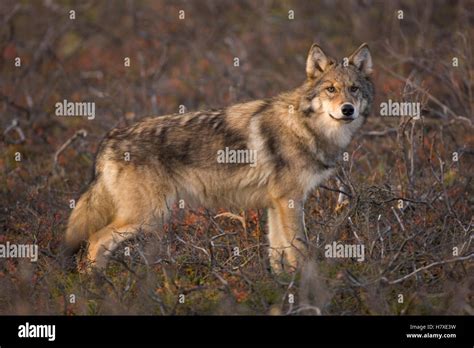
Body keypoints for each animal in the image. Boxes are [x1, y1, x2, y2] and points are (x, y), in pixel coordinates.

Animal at [64, 42, 374, 272]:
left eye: (354, 89)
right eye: (331, 89)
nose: (347, 109)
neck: (304, 126)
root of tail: (110, 138)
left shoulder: (275, 204)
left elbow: (277, 255)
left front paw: (280, 288)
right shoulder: (289, 201)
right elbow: (299, 251)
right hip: (149, 216)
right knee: (95, 241)